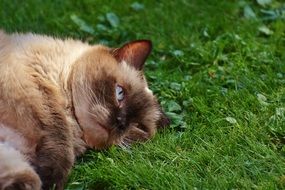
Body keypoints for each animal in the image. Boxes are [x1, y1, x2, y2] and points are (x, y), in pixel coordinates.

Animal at [0, 30, 169, 189]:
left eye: (139, 126)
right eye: (120, 93)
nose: (120, 122)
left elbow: (24, 173)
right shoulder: (44, 98)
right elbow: (60, 137)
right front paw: (49, 182)